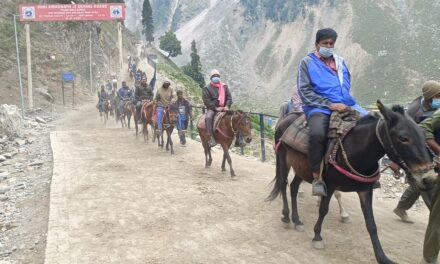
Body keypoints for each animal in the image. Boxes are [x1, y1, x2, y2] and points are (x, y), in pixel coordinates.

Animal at [268, 101, 436, 264]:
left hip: (302, 169)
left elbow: (371, 223)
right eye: (403, 138)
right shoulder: (329, 186)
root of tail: (287, 118)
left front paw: (382, 257)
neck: (355, 151)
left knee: (294, 187)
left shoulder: (365, 191)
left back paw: (297, 220)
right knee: (283, 184)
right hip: (283, 160)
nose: (430, 178)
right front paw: (317, 236)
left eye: (423, 135)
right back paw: (286, 217)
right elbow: (323, 210)